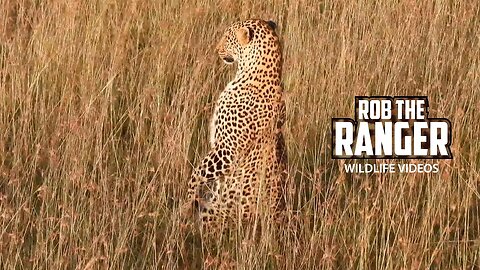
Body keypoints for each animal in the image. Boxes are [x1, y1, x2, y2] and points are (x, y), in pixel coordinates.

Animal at [186, 19, 286, 234]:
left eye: (227, 37)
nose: (216, 49)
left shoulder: (228, 150)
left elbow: (197, 173)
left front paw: (188, 198)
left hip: (213, 215)